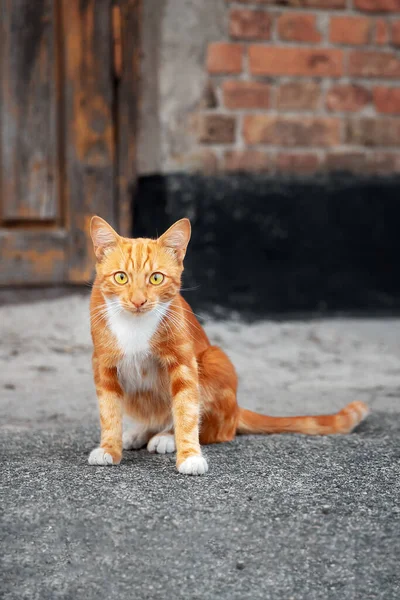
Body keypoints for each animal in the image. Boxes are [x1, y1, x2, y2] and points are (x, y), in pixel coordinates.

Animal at [87, 216, 368, 474]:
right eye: (121, 278)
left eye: (156, 279)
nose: (138, 301)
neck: (134, 326)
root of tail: (236, 409)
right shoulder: (103, 364)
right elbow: (109, 412)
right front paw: (109, 448)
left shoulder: (184, 362)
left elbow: (186, 410)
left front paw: (189, 455)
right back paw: (139, 433)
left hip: (213, 359)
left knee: (217, 428)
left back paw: (167, 436)